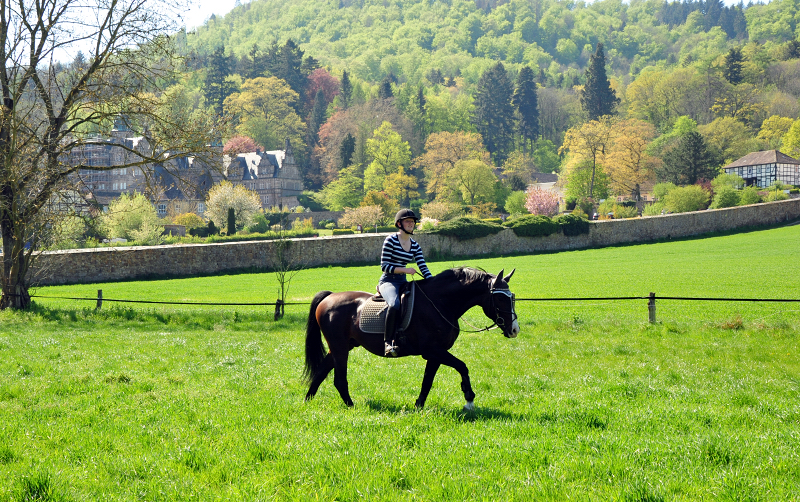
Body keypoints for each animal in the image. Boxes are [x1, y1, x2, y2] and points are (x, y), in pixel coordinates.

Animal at [304, 266, 520, 408]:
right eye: (500, 298)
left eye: (513, 297)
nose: (514, 330)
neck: (439, 304)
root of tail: (329, 297)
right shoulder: (433, 350)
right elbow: (462, 366)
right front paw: (468, 399)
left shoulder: (435, 354)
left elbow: (427, 381)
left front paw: (418, 406)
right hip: (340, 347)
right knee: (339, 379)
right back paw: (351, 406)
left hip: (342, 346)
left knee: (321, 372)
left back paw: (308, 402)